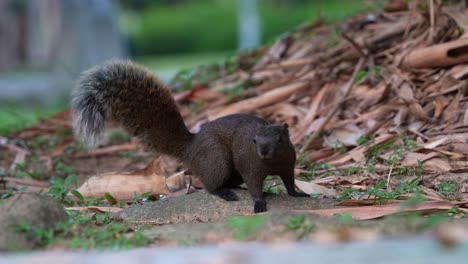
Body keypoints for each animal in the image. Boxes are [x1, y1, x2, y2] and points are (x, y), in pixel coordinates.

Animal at [71, 59, 308, 212]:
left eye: (281, 139)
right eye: (255, 141)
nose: (264, 152)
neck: (271, 163)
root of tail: (191, 148)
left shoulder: (288, 165)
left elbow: (289, 181)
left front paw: (298, 194)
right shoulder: (250, 165)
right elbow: (255, 186)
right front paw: (259, 203)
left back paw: (233, 187)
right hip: (216, 159)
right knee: (211, 184)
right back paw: (224, 192)